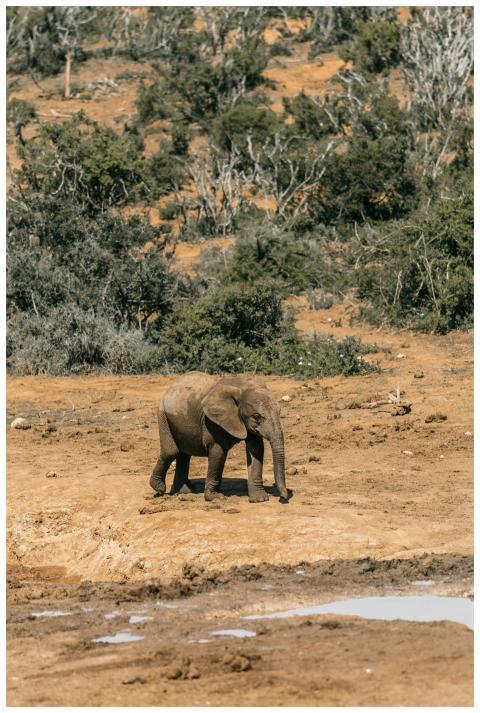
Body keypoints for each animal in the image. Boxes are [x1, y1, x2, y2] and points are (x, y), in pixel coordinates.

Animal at [149, 372, 289, 503]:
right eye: (256, 417)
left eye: (280, 412)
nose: (283, 497)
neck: (242, 387)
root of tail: (169, 389)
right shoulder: (212, 422)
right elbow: (218, 453)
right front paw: (215, 498)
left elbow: (256, 450)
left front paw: (260, 499)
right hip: (163, 416)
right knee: (171, 452)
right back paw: (159, 488)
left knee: (184, 454)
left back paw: (186, 491)